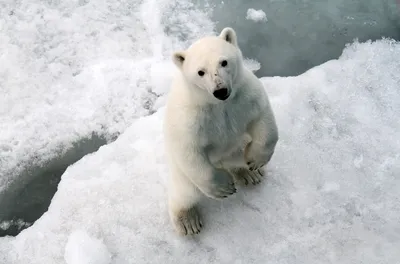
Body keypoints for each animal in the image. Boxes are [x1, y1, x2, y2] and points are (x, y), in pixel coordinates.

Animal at [162, 27, 278, 236]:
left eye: (223, 62)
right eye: (200, 72)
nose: (220, 90)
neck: (218, 104)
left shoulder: (245, 96)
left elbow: (262, 120)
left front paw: (256, 161)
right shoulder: (191, 117)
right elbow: (189, 150)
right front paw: (223, 188)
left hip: (236, 148)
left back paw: (249, 174)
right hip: (180, 172)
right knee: (185, 190)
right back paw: (188, 221)